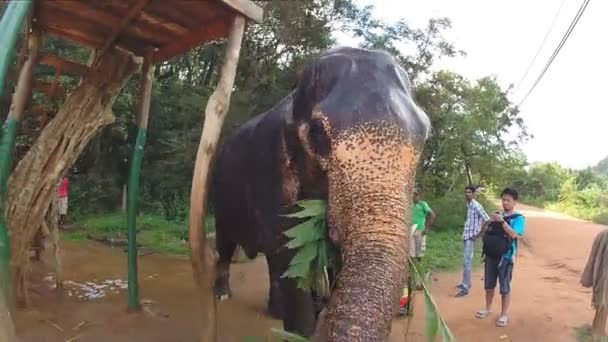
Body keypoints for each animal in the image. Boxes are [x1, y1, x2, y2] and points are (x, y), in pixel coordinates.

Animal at [211, 46, 430, 340]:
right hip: (220, 193)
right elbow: (291, 250)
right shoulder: (271, 165)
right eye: (316, 134)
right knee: (226, 242)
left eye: (425, 135)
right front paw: (301, 329)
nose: (324, 309)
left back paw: (275, 310)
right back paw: (222, 294)